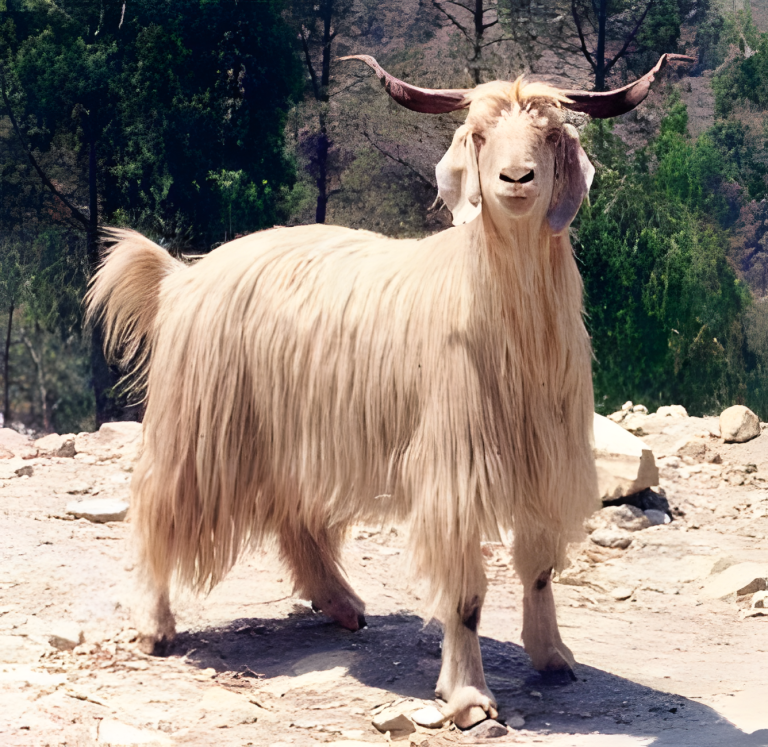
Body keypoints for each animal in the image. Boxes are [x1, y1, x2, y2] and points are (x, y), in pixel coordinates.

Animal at [86, 54, 691, 728]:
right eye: (479, 134)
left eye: (551, 133)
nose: (516, 178)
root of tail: (181, 277)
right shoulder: (455, 467)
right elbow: (466, 592)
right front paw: (468, 696)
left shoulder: (546, 459)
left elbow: (537, 568)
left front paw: (555, 658)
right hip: (198, 426)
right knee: (158, 505)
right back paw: (155, 627)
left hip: (295, 435)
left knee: (295, 518)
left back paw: (343, 606)